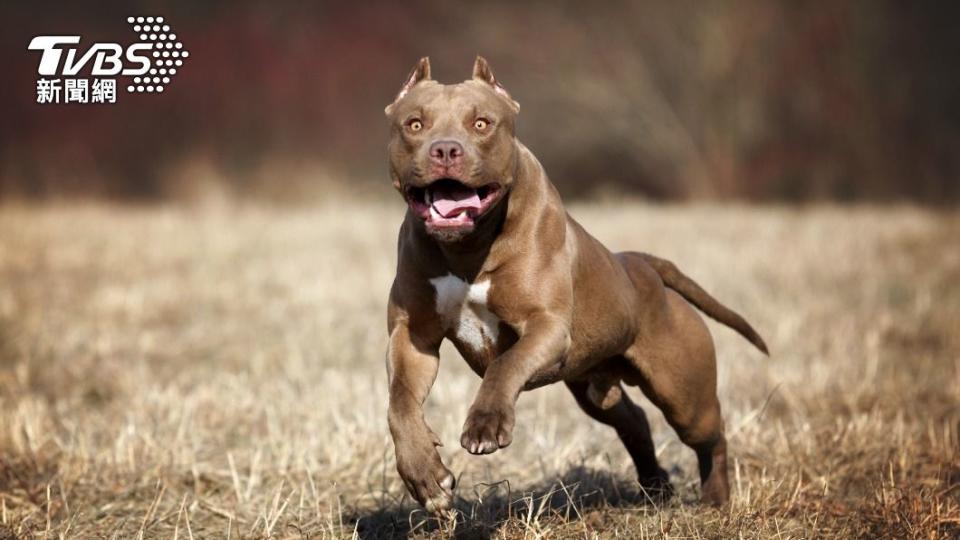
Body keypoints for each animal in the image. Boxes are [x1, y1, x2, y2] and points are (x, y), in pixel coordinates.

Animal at [382, 57, 764, 512]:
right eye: (414, 124)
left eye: (481, 123)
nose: (444, 149)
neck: (467, 248)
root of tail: (642, 265)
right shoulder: (413, 337)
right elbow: (399, 403)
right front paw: (424, 475)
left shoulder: (545, 326)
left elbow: (504, 363)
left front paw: (486, 424)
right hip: (594, 387)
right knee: (634, 421)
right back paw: (655, 488)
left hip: (684, 395)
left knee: (711, 435)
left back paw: (715, 498)